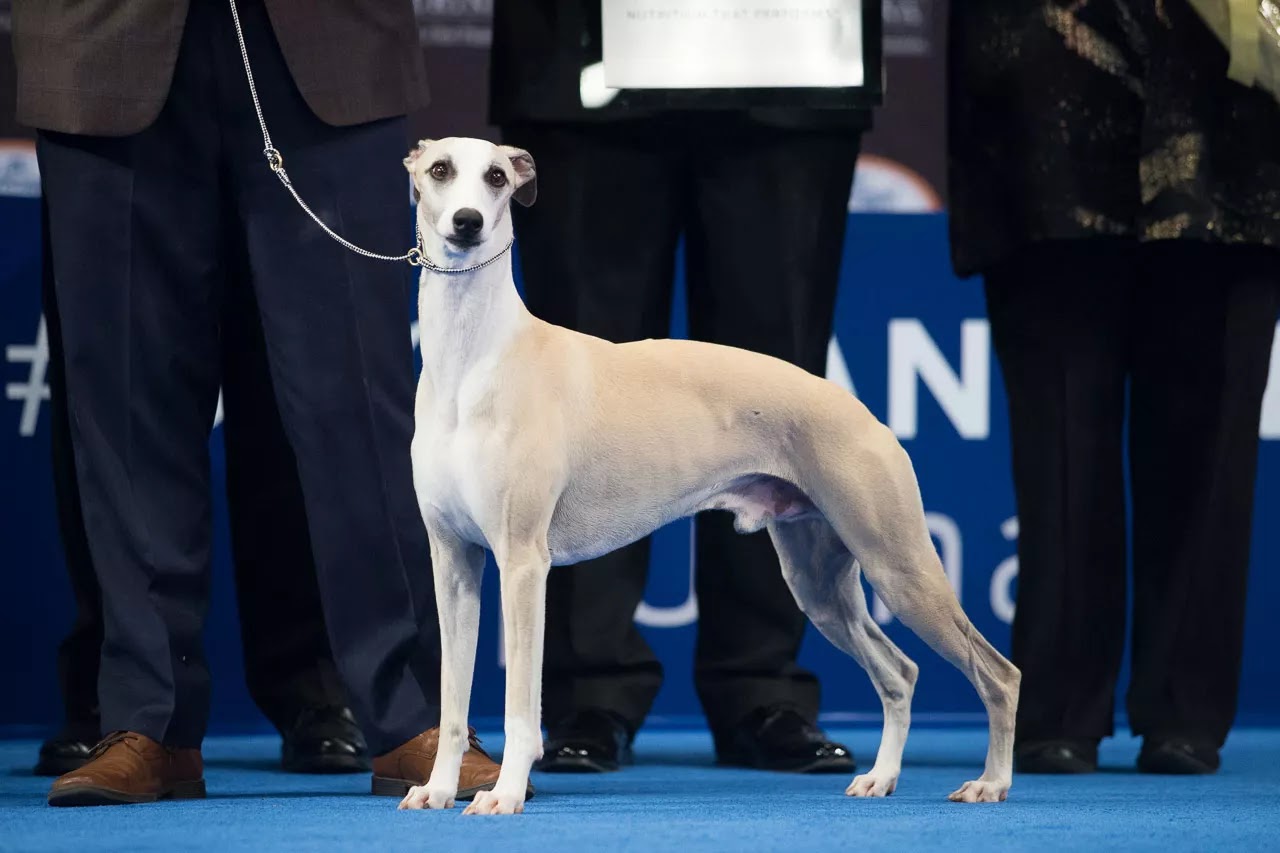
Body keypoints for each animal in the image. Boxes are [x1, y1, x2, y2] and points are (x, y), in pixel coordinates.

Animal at [399, 134, 1018, 809]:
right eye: (440, 169)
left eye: (495, 177)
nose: (467, 223)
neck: (477, 359)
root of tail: (863, 413)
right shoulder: (453, 560)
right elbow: (452, 703)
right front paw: (438, 788)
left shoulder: (521, 562)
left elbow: (520, 708)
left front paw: (505, 795)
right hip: (819, 580)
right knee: (900, 672)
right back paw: (881, 777)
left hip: (898, 564)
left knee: (997, 672)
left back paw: (990, 782)